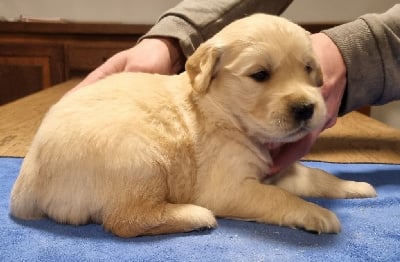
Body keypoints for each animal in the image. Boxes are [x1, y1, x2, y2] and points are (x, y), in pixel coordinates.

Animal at [10, 13, 376, 236]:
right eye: (260, 75)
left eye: (308, 69)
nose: (306, 108)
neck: (220, 111)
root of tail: (25, 187)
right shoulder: (229, 187)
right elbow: (279, 198)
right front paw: (318, 214)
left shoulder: (276, 168)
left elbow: (318, 176)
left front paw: (354, 186)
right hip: (141, 158)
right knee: (124, 219)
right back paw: (195, 215)